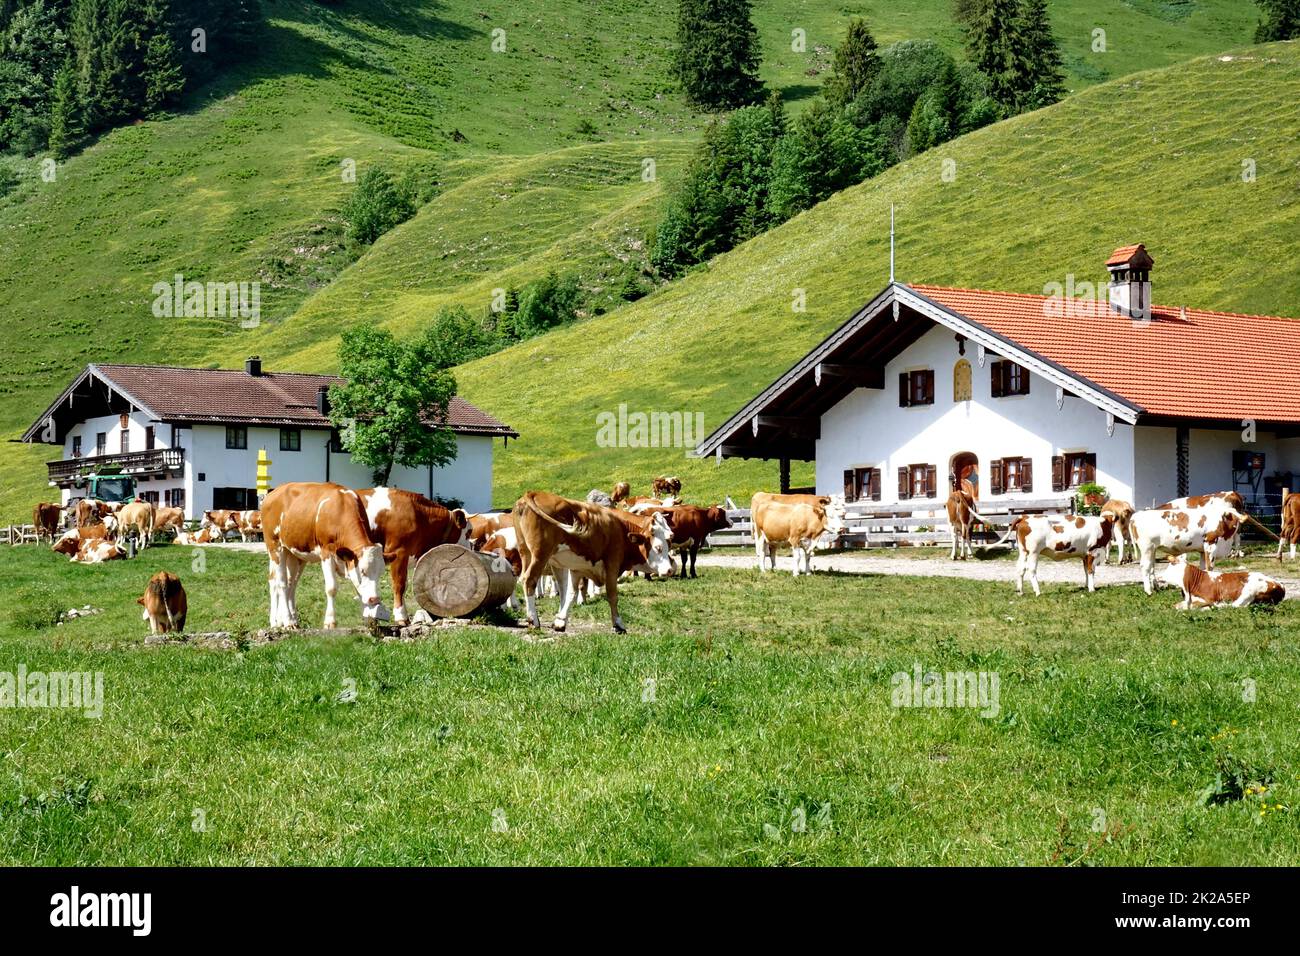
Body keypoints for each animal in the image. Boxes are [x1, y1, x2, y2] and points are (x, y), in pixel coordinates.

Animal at [261, 481, 384, 632]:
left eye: (381, 572)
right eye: (363, 570)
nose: (375, 599)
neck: (341, 509)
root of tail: (273, 493)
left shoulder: (349, 562)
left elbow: (359, 589)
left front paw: (368, 621)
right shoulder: (327, 553)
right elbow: (331, 588)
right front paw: (330, 622)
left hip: (295, 554)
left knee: (290, 583)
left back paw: (282, 621)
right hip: (275, 547)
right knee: (281, 583)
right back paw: (287, 621)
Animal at [512, 494, 676, 634]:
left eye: (668, 544)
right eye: (658, 547)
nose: (669, 570)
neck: (620, 528)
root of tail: (532, 493)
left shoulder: (577, 569)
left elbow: (571, 594)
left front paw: (560, 621)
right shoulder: (612, 564)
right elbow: (612, 595)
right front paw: (618, 624)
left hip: (527, 553)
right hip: (540, 555)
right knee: (529, 580)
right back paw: (533, 620)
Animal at [1159, 556, 1289, 608]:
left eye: (1169, 568)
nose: (1160, 576)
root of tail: (1280, 585)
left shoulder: (1209, 599)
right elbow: (1176, 605)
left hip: (1250, 590)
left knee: (1237, 605)